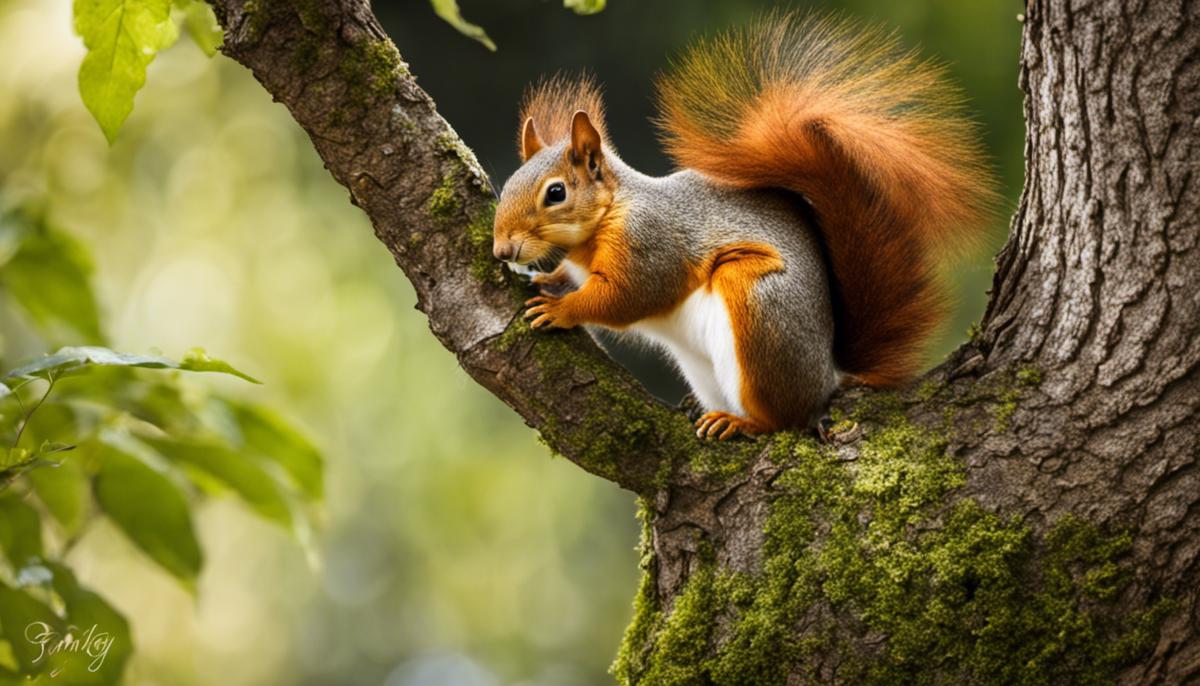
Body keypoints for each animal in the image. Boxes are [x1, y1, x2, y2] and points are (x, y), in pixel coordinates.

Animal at [487, 13, 993, 438]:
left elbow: (629, 296)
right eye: (508, 183)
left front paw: (562, 308)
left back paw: (743, 423)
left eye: (556, 193)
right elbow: (572, 277)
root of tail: (828, 376)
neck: (603, 222)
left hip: (758, 306)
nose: (502, 251)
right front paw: (545, 279)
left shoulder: (652, 243)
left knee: (787, 419)